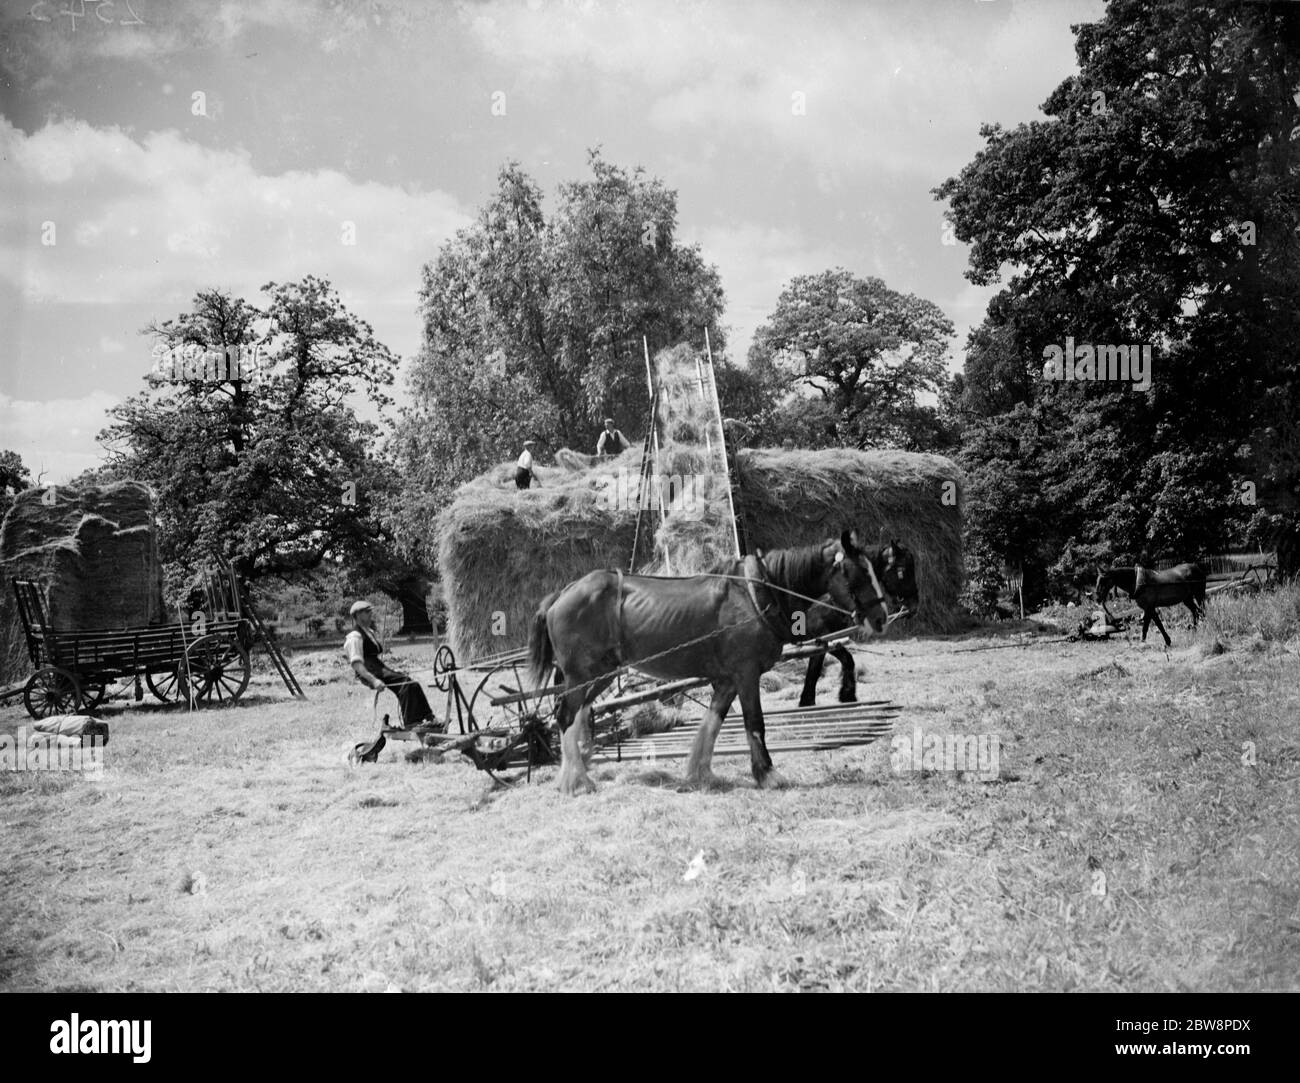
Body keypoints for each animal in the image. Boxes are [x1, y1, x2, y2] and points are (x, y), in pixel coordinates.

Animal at [527, 530, 894, 795]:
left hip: (595, 676)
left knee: (575, 716)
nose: (881, 618)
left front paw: (699, 772)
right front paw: (767, 774)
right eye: (857, 573)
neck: (755, 596)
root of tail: (562, 594)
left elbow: (713, 723)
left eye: (876, 571)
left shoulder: (727, 679)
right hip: (585, 674)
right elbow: (754, 724)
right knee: (566, 716)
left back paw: (574, 774)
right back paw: (577, 782)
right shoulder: (746, 674)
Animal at [795, 535, 920, 707]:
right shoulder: (818, 637)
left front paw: (845, 695)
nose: (914, 605)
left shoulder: (825, 640)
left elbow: (835, 664)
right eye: (904, 570)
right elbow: (822, 669)